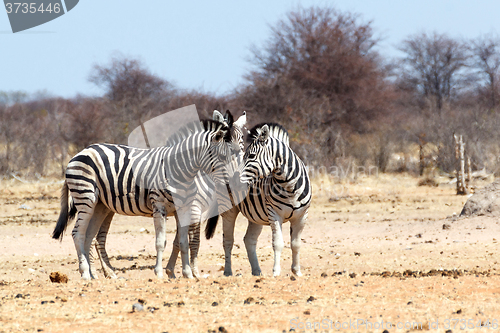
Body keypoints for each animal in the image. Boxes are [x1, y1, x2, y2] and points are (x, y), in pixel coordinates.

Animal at [51, 118, 237, 278]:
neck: (181, 171)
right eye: (223, 157)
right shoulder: (160, 207)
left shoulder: (184, 208)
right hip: (85, 197)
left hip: (100, 205)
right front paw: (160, 273)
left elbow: (183, 241)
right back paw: (85, 274)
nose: (232, 182)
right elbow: (161, 241)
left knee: (89, 236)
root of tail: (79, 153)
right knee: (78, 233)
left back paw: (95, 274)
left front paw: (187, 274)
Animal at [216, 123, 310, 276]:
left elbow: (296, 243)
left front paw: (296, 271)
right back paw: (228, 272)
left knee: (249, 239)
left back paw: (256, 271)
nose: (235, 182)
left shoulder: (302, 216)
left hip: (256, 215)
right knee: (228, 241)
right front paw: (276, 272)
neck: (289, 186)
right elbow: (278, 243)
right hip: (228, 210)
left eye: (251, 156)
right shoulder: (274, 214)